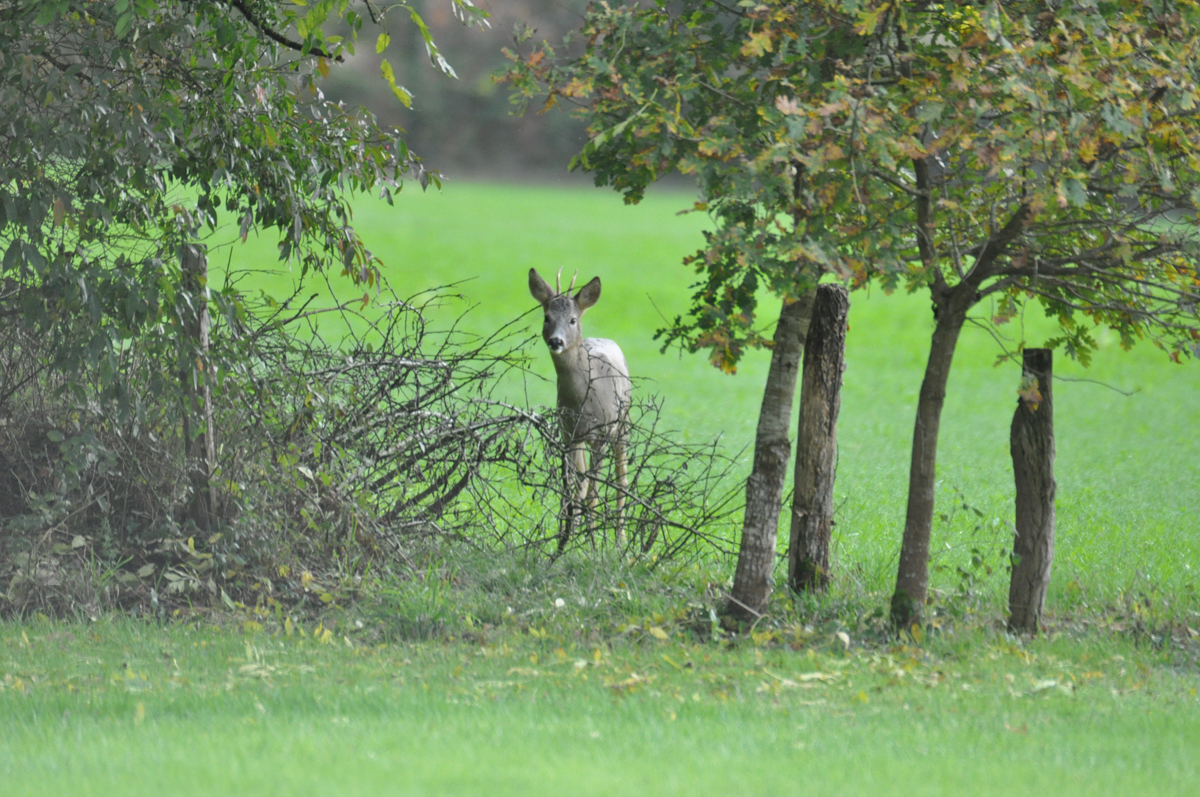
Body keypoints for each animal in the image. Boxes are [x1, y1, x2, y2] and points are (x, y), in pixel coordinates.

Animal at [530, 266, 633, 547]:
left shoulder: (602, 434)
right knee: (582, 481)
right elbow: (571, 491)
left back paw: (619, 539)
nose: (556, 341)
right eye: (546, 317)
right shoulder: (568, 433)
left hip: (623, 423)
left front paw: (593, 543)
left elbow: (594, 494)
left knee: (621, 480)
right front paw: (564, 539)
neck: (584, 402)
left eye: (573, 320)